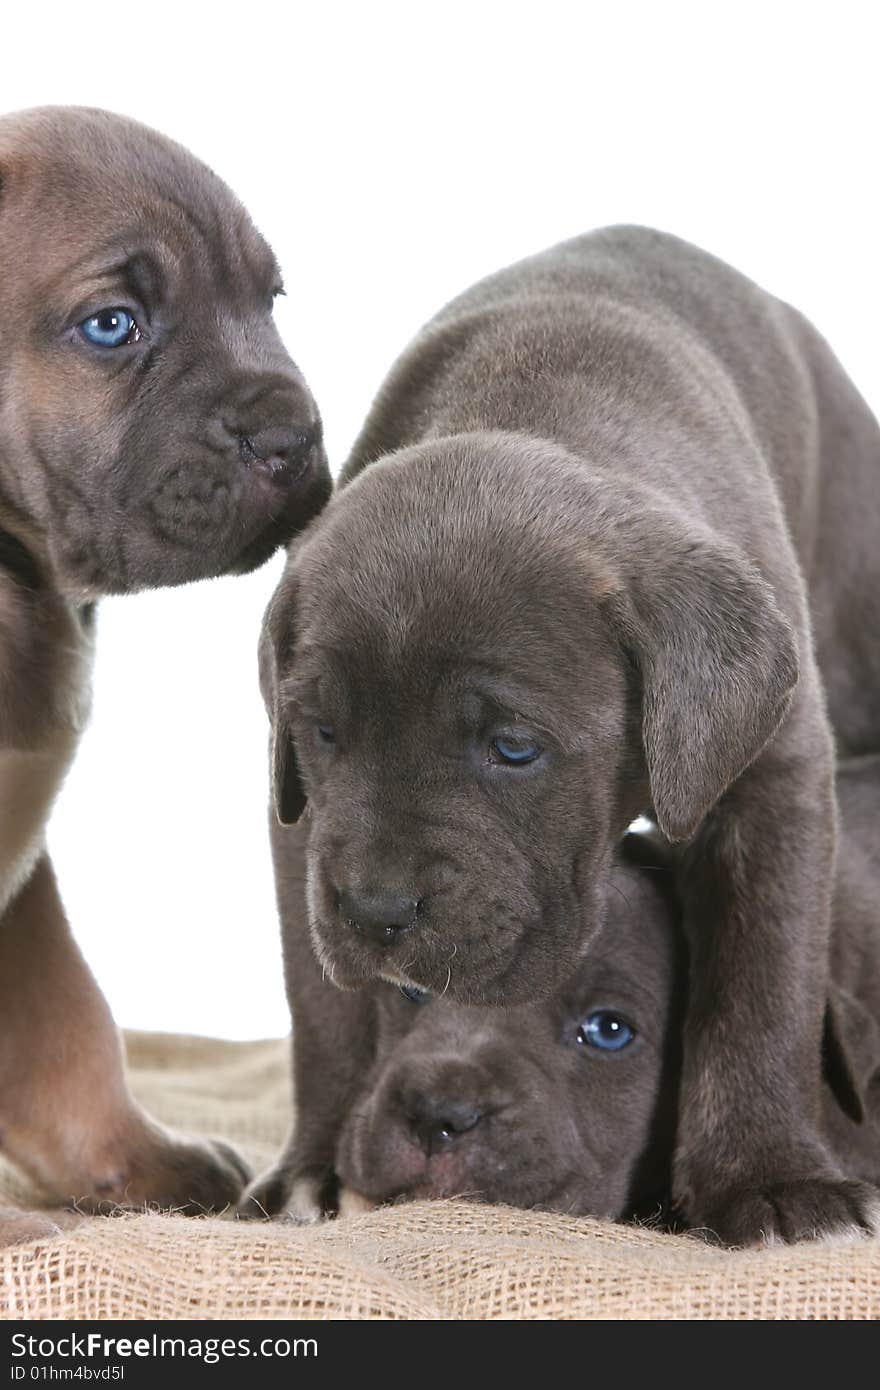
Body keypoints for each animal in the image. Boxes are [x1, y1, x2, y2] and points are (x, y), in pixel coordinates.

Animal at [0, 102, 329, 1245]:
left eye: (269, 301)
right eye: (113, 327)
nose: (292, 436)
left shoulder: (26, 884)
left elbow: (66, 1023)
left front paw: (133, 1166)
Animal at [257, 227, 878, 1251]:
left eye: (514, 748)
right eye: (324, 732)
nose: (380, 911)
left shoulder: (773, 781)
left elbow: (763, 983)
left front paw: (774, 1181)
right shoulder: (301, 827)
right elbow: (324, 1008)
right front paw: (311, 1169)